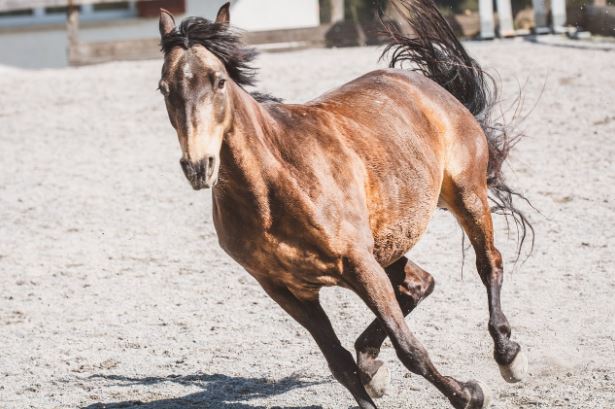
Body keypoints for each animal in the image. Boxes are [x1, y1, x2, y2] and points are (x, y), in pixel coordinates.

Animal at [158, 1, 536, 406]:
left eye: (219, 81)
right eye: (165, 88)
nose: (199, 166)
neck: (274, 187)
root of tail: (426, 85)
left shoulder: (358, 264)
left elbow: (411, 351)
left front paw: (468, 395)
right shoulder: (286, 289)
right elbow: (340, 366)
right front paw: (371, 376)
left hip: (465, 195)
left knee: (488, 263)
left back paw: (508, 355)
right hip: (387, 244)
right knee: (418, 284)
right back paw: (372, 364)